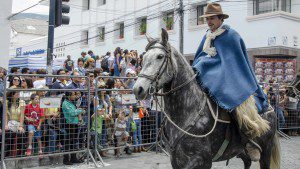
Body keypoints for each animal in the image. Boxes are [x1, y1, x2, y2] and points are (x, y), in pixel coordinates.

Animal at [132, 29, 280, 169]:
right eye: (143, 58)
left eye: (160, 56)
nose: (138, 89)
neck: (188, 111)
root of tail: (269, 106)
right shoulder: (176, 160)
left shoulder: (202, 160)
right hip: (242, 153)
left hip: (266, 151)